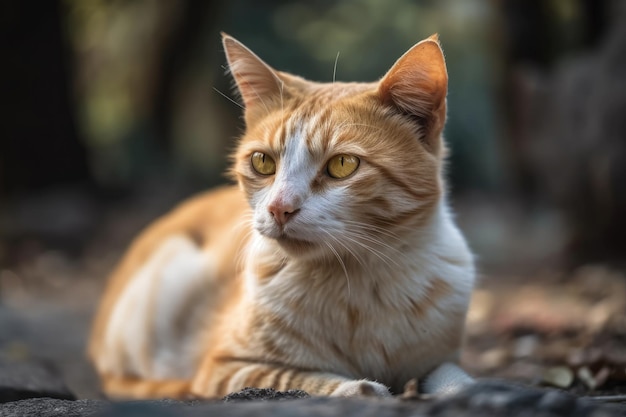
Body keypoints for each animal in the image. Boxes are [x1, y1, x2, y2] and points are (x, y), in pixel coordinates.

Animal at [86, 31, 472, 396]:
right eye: (262, 162)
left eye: (343, 165)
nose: (279, 208)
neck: (354, 283)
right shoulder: (224, 368)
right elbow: (295, 377)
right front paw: (356, 387)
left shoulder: (440, 357)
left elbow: (453, 377)